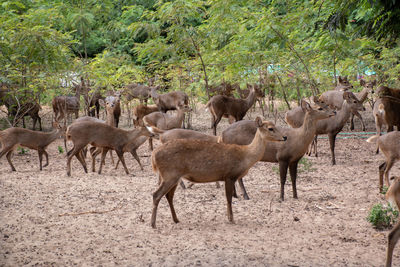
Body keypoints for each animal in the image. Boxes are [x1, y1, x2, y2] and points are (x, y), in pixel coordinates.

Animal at [148, 117, 286, 228]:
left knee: (168, 196)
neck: (245, 156)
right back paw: (153, 224)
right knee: (156, 195)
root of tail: (154, 156)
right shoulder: (229, 175)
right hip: (170, 175)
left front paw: (229, 218)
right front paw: (231, 219)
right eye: (271, 128)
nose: (284, 137)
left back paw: (176, 219)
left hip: (173, 176)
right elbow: (229, 198)